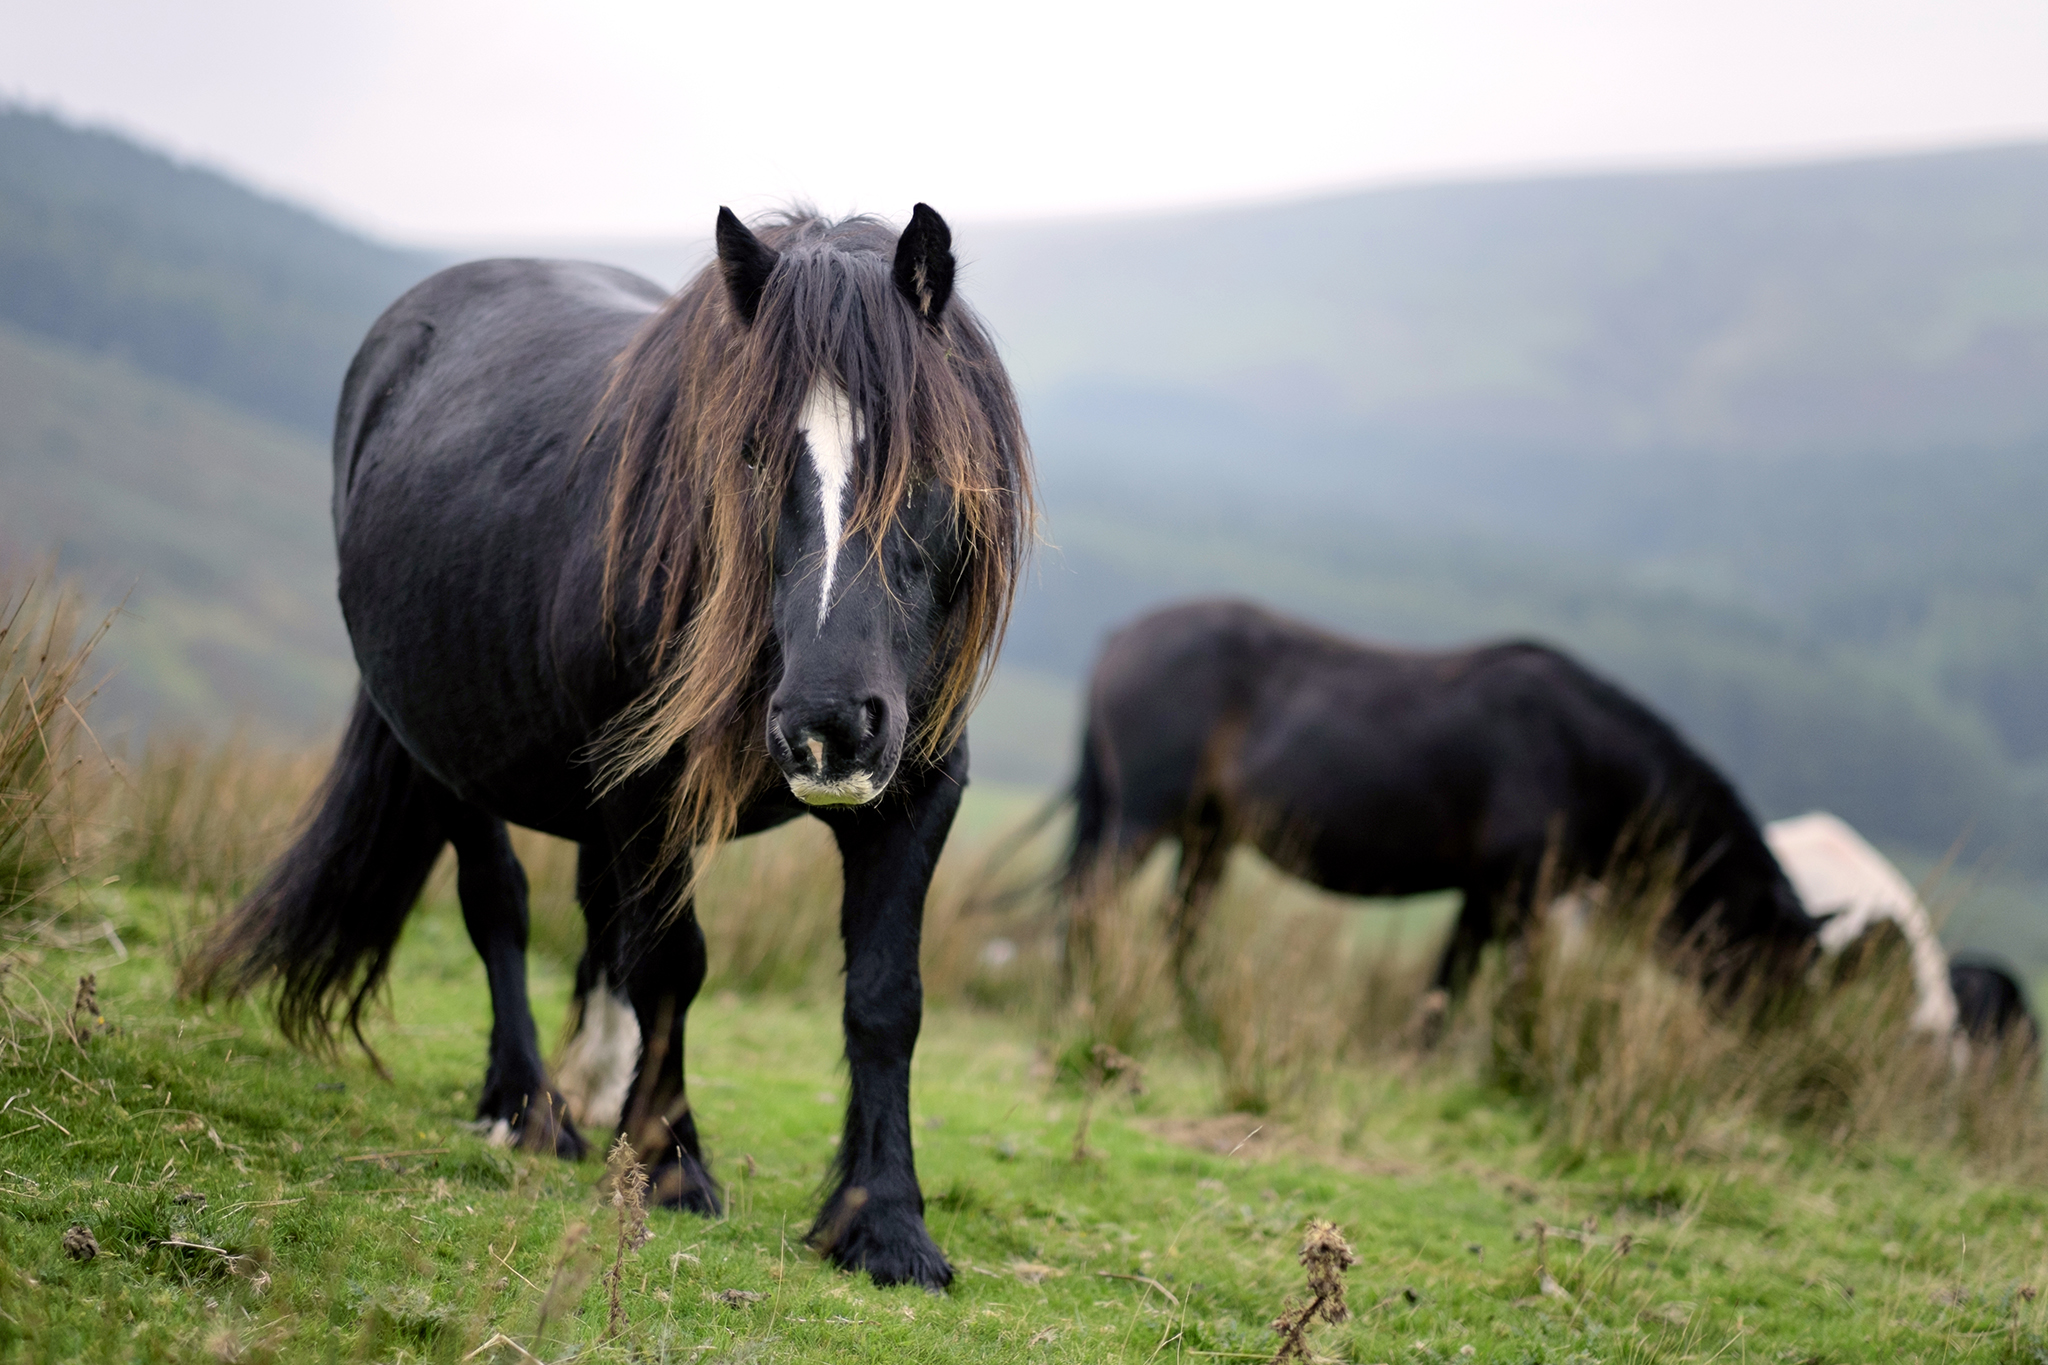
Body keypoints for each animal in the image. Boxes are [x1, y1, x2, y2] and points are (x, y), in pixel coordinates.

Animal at [190, 206, 1034, 1290]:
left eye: (926, 458)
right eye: (750, 451)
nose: (828, 722)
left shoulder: (916, 787)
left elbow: (884, 998)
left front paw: (881, 1223)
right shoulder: (647, 790)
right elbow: (671, 964)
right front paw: (673, 1167)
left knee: (600, 922)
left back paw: (592, 1090)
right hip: (449, 748)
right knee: (500, 906)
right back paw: (526, 1107)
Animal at [1060, 599, 1818, 1012]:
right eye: (1777, 971)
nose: (1781, 1073)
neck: (1582, 758)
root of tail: (1124, 634)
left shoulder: (1486, 895)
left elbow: (1448, 984)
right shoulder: (1518, 897)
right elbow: (1500, 990)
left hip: (1209, 833)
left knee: (1180, 926)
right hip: (1144, 819)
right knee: (1091, 906)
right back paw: (1084, 1002)